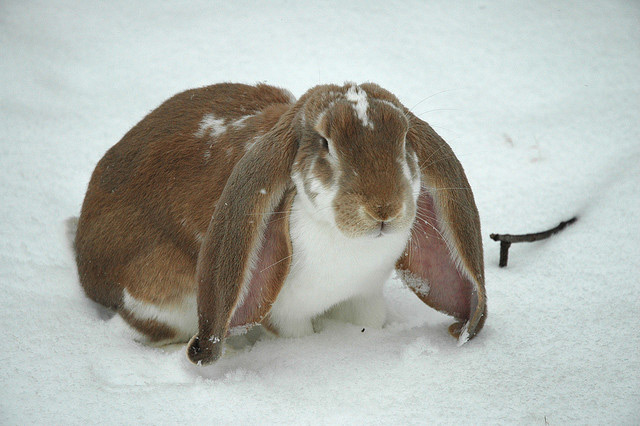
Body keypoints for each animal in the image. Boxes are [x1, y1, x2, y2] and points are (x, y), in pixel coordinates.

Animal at [75, 80, 484, 366]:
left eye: (403, 140)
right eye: (325, 143)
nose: (383, 209)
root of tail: (87, 269)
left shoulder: (364, 297)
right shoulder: (286, 313)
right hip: (162, 291)